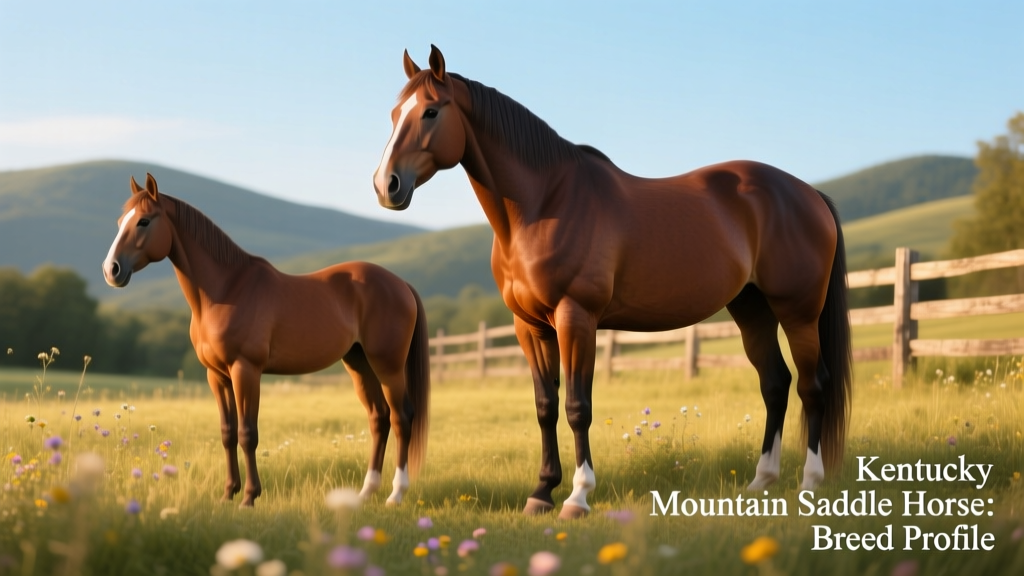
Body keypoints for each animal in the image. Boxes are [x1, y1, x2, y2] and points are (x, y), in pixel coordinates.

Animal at [102, 173, 430, 507]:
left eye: (143, 221)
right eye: (119, 221)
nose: (111, 270)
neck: (226, 290)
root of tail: (400, 283)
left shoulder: (245, 371)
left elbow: (248, 433)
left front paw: (249, 496)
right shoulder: (216, 376)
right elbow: (228, 433)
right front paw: (227, 493)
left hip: (388, 365)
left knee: (402, 418)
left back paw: (396, 494)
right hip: (359, 363)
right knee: (379, 418)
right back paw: (366, 493)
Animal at [372, 46, 852, 519]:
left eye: (431, 111)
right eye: (395, 113)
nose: (385, 185)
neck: (544, 204)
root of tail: (808, 193)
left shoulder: (576, 319)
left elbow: (577, 407)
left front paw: (578, 496)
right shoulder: (529, 327)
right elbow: (545, 407)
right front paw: (541, 492)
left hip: (798, 312)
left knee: (812, 385)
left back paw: (810, 481)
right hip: (752, 309)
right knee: (775, 384)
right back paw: (761, 481)